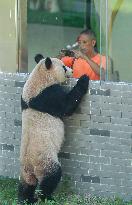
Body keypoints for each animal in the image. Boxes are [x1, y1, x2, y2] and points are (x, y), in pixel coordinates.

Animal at [18, 56, 89, 204]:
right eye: (63, 67)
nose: (72, 70)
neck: (39, 76)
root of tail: (31, 164)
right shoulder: (48, 95)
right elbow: (67, 106)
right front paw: (84, 78)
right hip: (45, 160)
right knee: (51, 177)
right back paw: (46, 197)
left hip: (25, 170)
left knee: (27, 184)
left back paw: (26, 199)